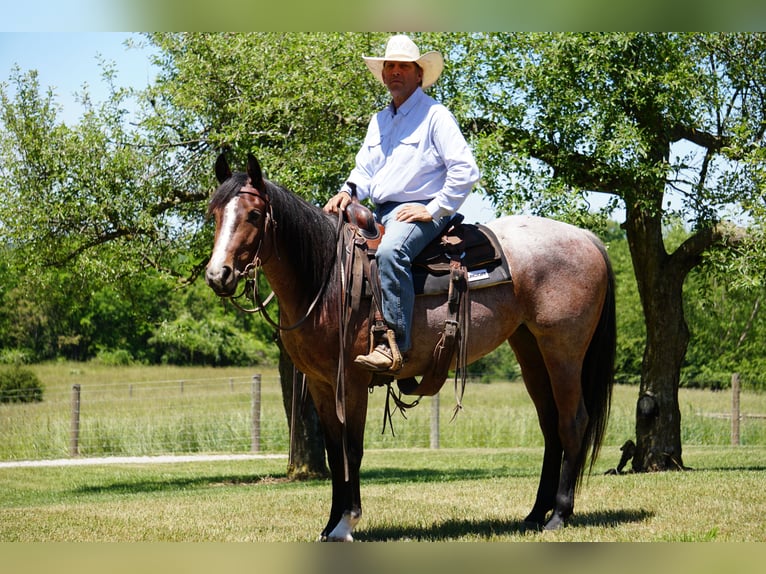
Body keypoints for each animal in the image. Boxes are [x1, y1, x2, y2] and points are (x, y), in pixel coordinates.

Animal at [205, 153, 616, 540]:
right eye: (215, 214)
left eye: (254, 213)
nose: (217, 275)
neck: (328, 278)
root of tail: (587, 237)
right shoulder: (322, 384)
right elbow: (334, 454)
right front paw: (330, 525)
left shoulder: (352, 381)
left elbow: (352, 450)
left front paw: (347, 522)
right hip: (529, 348)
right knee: (550, 426)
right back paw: (534, 515)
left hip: (563, 350)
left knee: (572, 421)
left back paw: (558, 515)